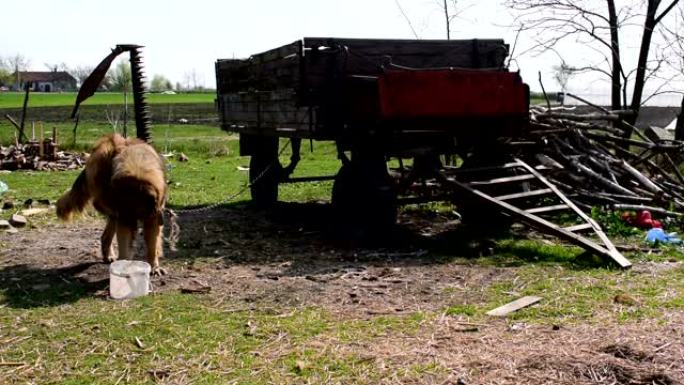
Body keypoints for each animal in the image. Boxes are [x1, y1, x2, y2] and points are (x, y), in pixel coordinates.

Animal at [57, 134, 167, 274]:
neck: (137, 172)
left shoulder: (151, 217)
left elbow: (153, 244)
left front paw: (154, 266)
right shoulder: (124, 216)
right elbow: (124, 244)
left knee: (106, 233)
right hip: (101, 164)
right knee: (102, 208)